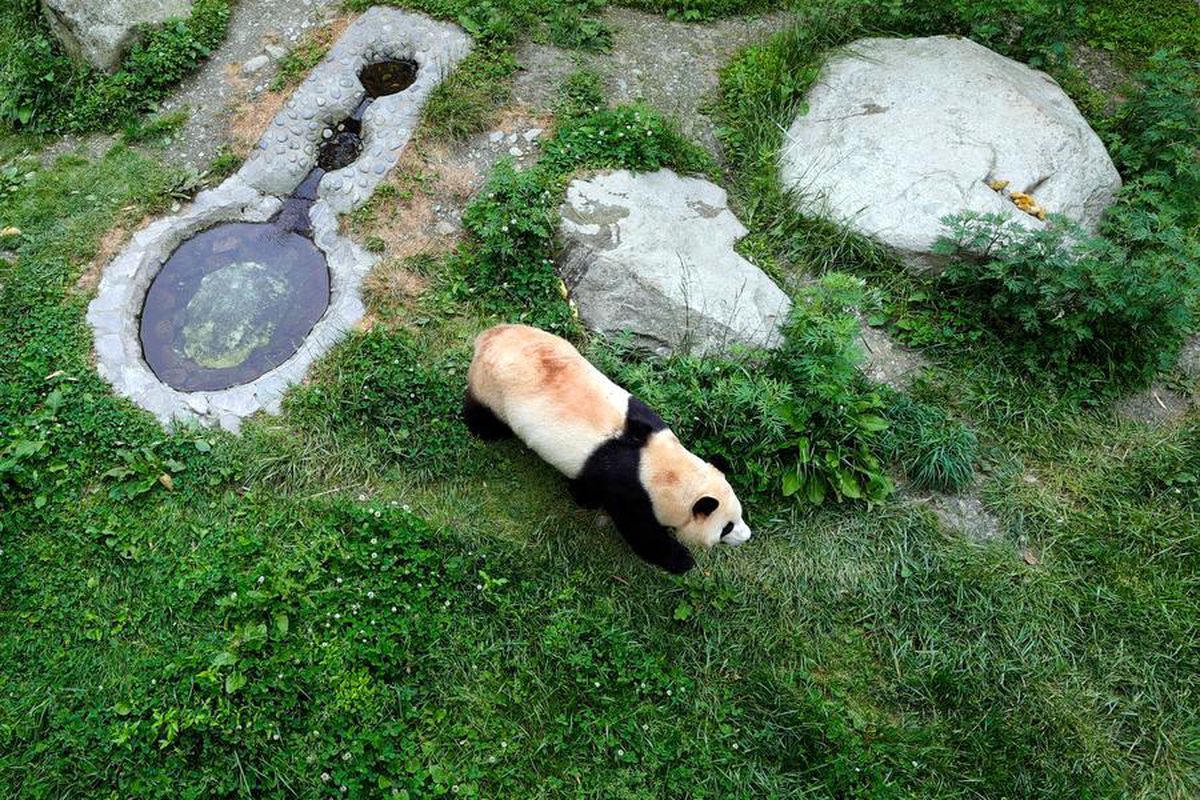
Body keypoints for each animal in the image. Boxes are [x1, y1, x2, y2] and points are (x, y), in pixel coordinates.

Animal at [463, 323, 752, 574]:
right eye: (727, 527)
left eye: (739, 514)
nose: (747, 536)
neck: (660, 465)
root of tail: (487, 336)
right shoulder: (628, 488)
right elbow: (641, 532)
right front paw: (682, 560)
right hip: (492, 387)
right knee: (481, 414)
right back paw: (488, 431)